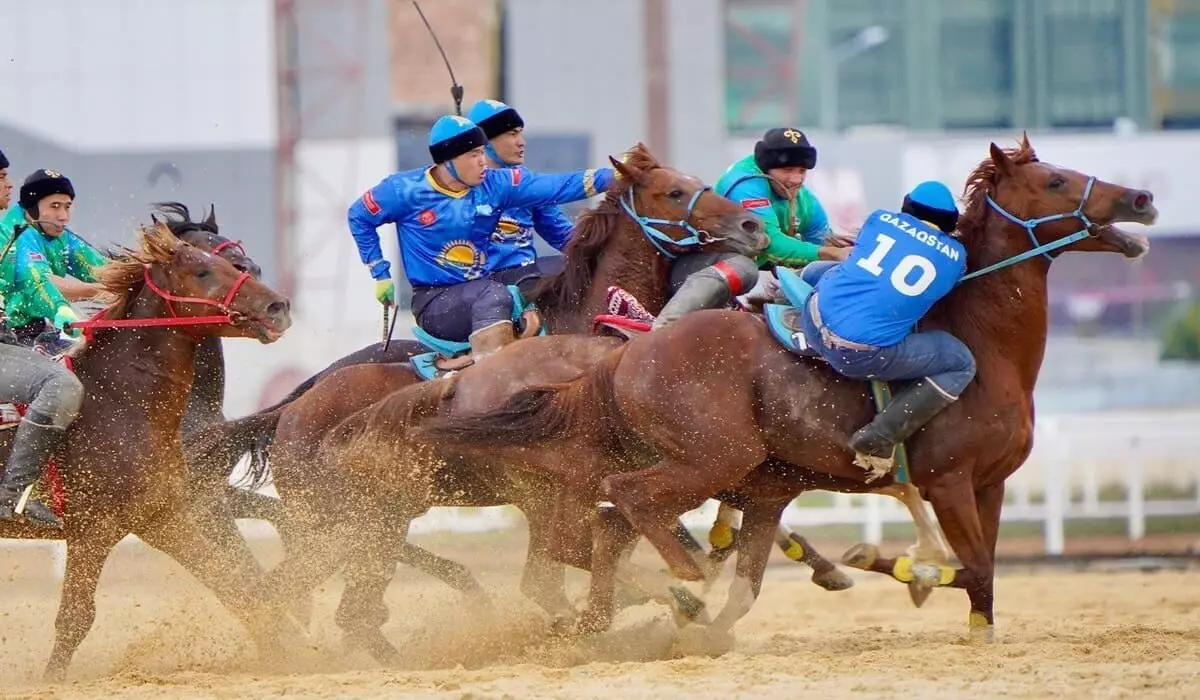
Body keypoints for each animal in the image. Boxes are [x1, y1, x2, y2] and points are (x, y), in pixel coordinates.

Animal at [0, 223, 294, 677]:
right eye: (204, 271)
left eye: (240, 265)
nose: (278, 306)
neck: (118, 402)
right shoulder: (93, 529)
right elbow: (74, 618)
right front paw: (52, 680)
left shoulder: (164, 517)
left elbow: (237, 585)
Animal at [417, 136, 1156, 638]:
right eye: (1056, 180)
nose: (1142, 198)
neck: (978, 337)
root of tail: (628, 355)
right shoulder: (947, 481)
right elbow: (969, 567)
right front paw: (897, 565)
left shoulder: (988, 484)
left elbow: (986, 577)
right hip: (703, 459)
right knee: (620, 507)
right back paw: (681, 587)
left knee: (603, 535)